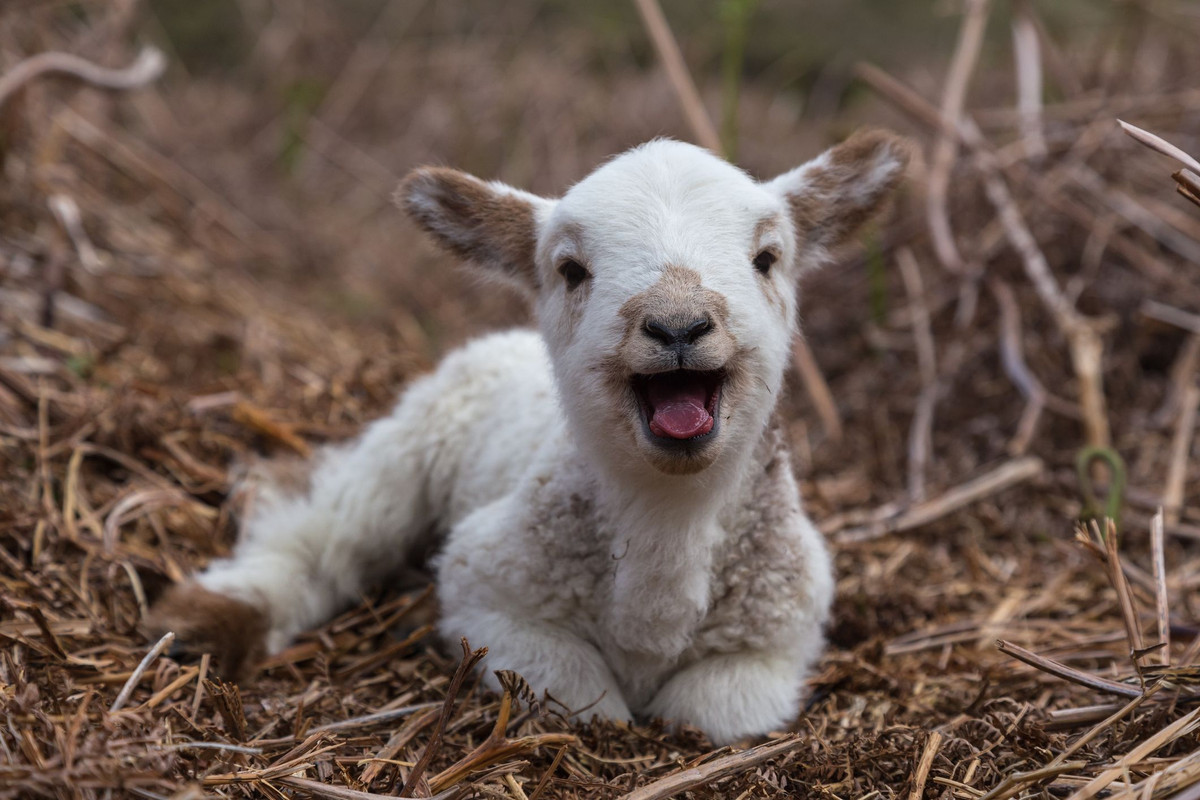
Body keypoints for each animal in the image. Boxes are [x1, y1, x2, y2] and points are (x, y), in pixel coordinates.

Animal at [148, 130, 910, 745]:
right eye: (570, 270)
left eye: (768, 258)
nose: (678, 325)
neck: (668, 518)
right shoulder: (487, 588)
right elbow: (583, 696)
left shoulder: (783, 631)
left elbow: (709, 711)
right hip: (418, 435)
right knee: (328, 527)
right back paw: (214, 615)